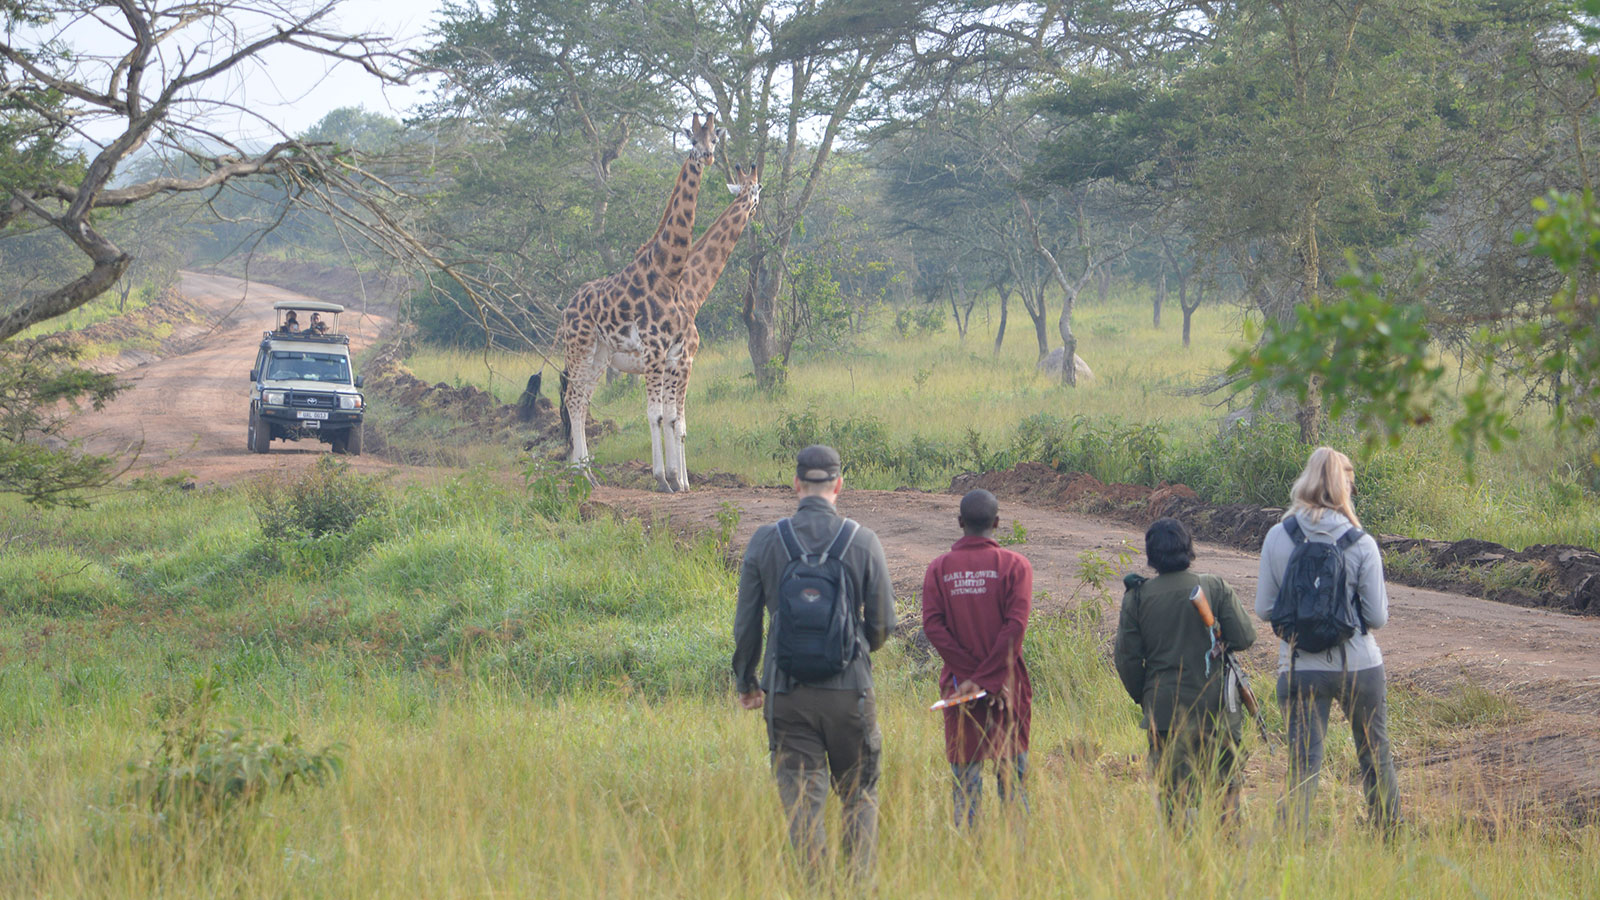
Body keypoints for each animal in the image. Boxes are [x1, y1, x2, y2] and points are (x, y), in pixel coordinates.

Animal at [556, 112, 720, 490]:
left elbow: (668, 417)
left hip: (600, 353)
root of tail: (566, 308)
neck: (668, 273)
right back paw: (580, 473)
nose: (706, 157)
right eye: (693, 140)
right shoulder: (656, 350)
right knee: (573, 398)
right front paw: (664, 480)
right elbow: (657, 415)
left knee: (582, 400)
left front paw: (673, 479)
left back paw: (587, 473)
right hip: (579, 347)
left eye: (715, 139)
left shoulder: (669, 353)